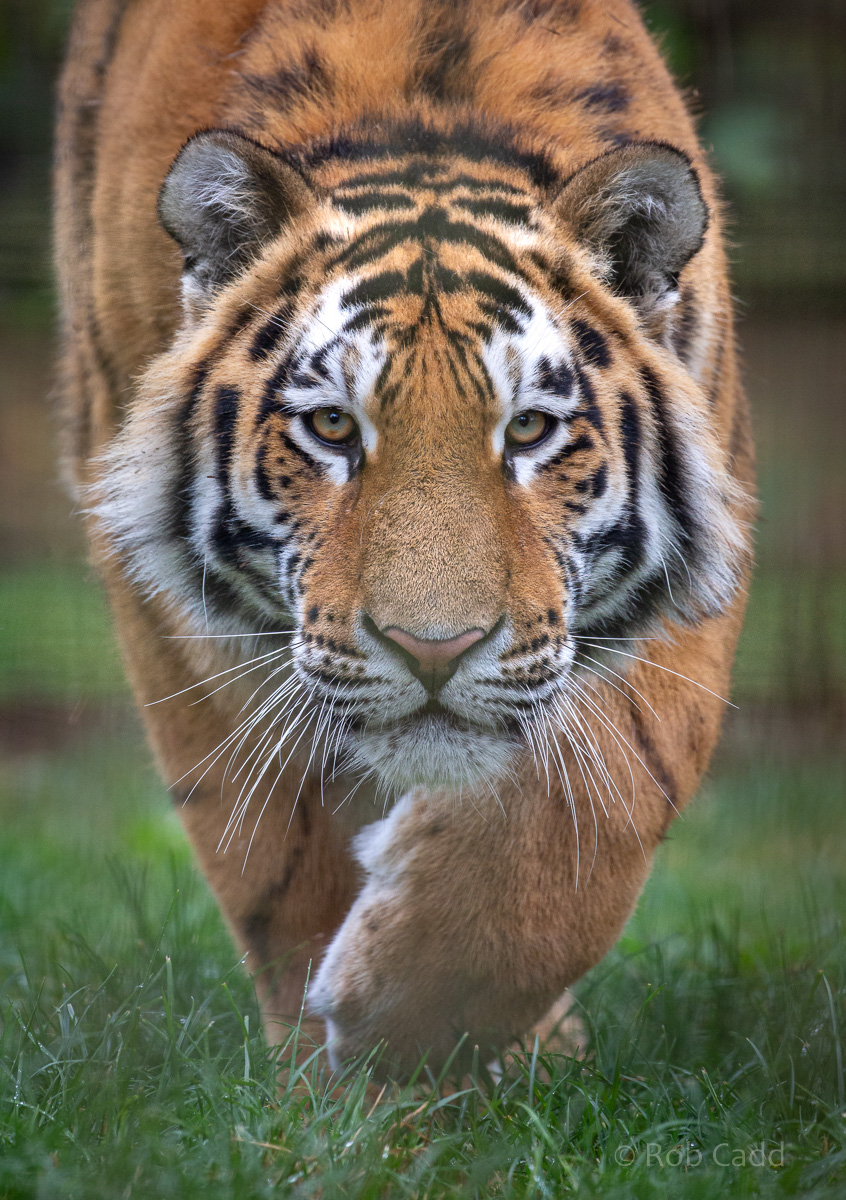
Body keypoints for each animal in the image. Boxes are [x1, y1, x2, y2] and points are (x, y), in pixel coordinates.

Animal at [56, 0, 754, 1077]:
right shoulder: (174, 605)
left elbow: (598, 803)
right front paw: (345, 1071)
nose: (434, 651)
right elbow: (276, 845)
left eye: (529, 429)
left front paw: (412, 1012)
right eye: (332, 428)